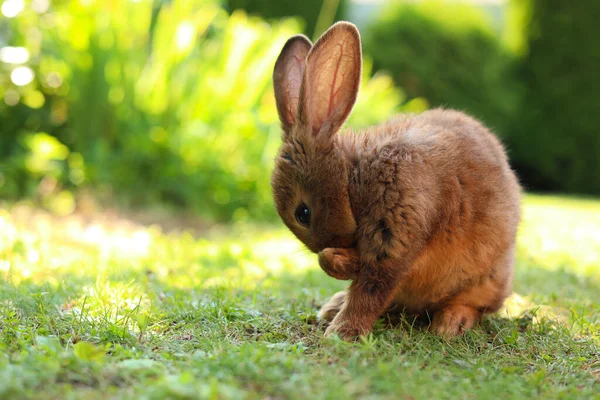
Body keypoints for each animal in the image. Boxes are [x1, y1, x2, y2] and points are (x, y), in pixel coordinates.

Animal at [272, 21, 520, 340]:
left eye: (303, 213)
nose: (320, 246)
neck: (355, 177)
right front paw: (335, 266)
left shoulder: (394, 230)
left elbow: (372, 287)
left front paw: (343, 332)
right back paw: (332, 305)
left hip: (483, 279)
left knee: (475, 306)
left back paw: (451, 323)